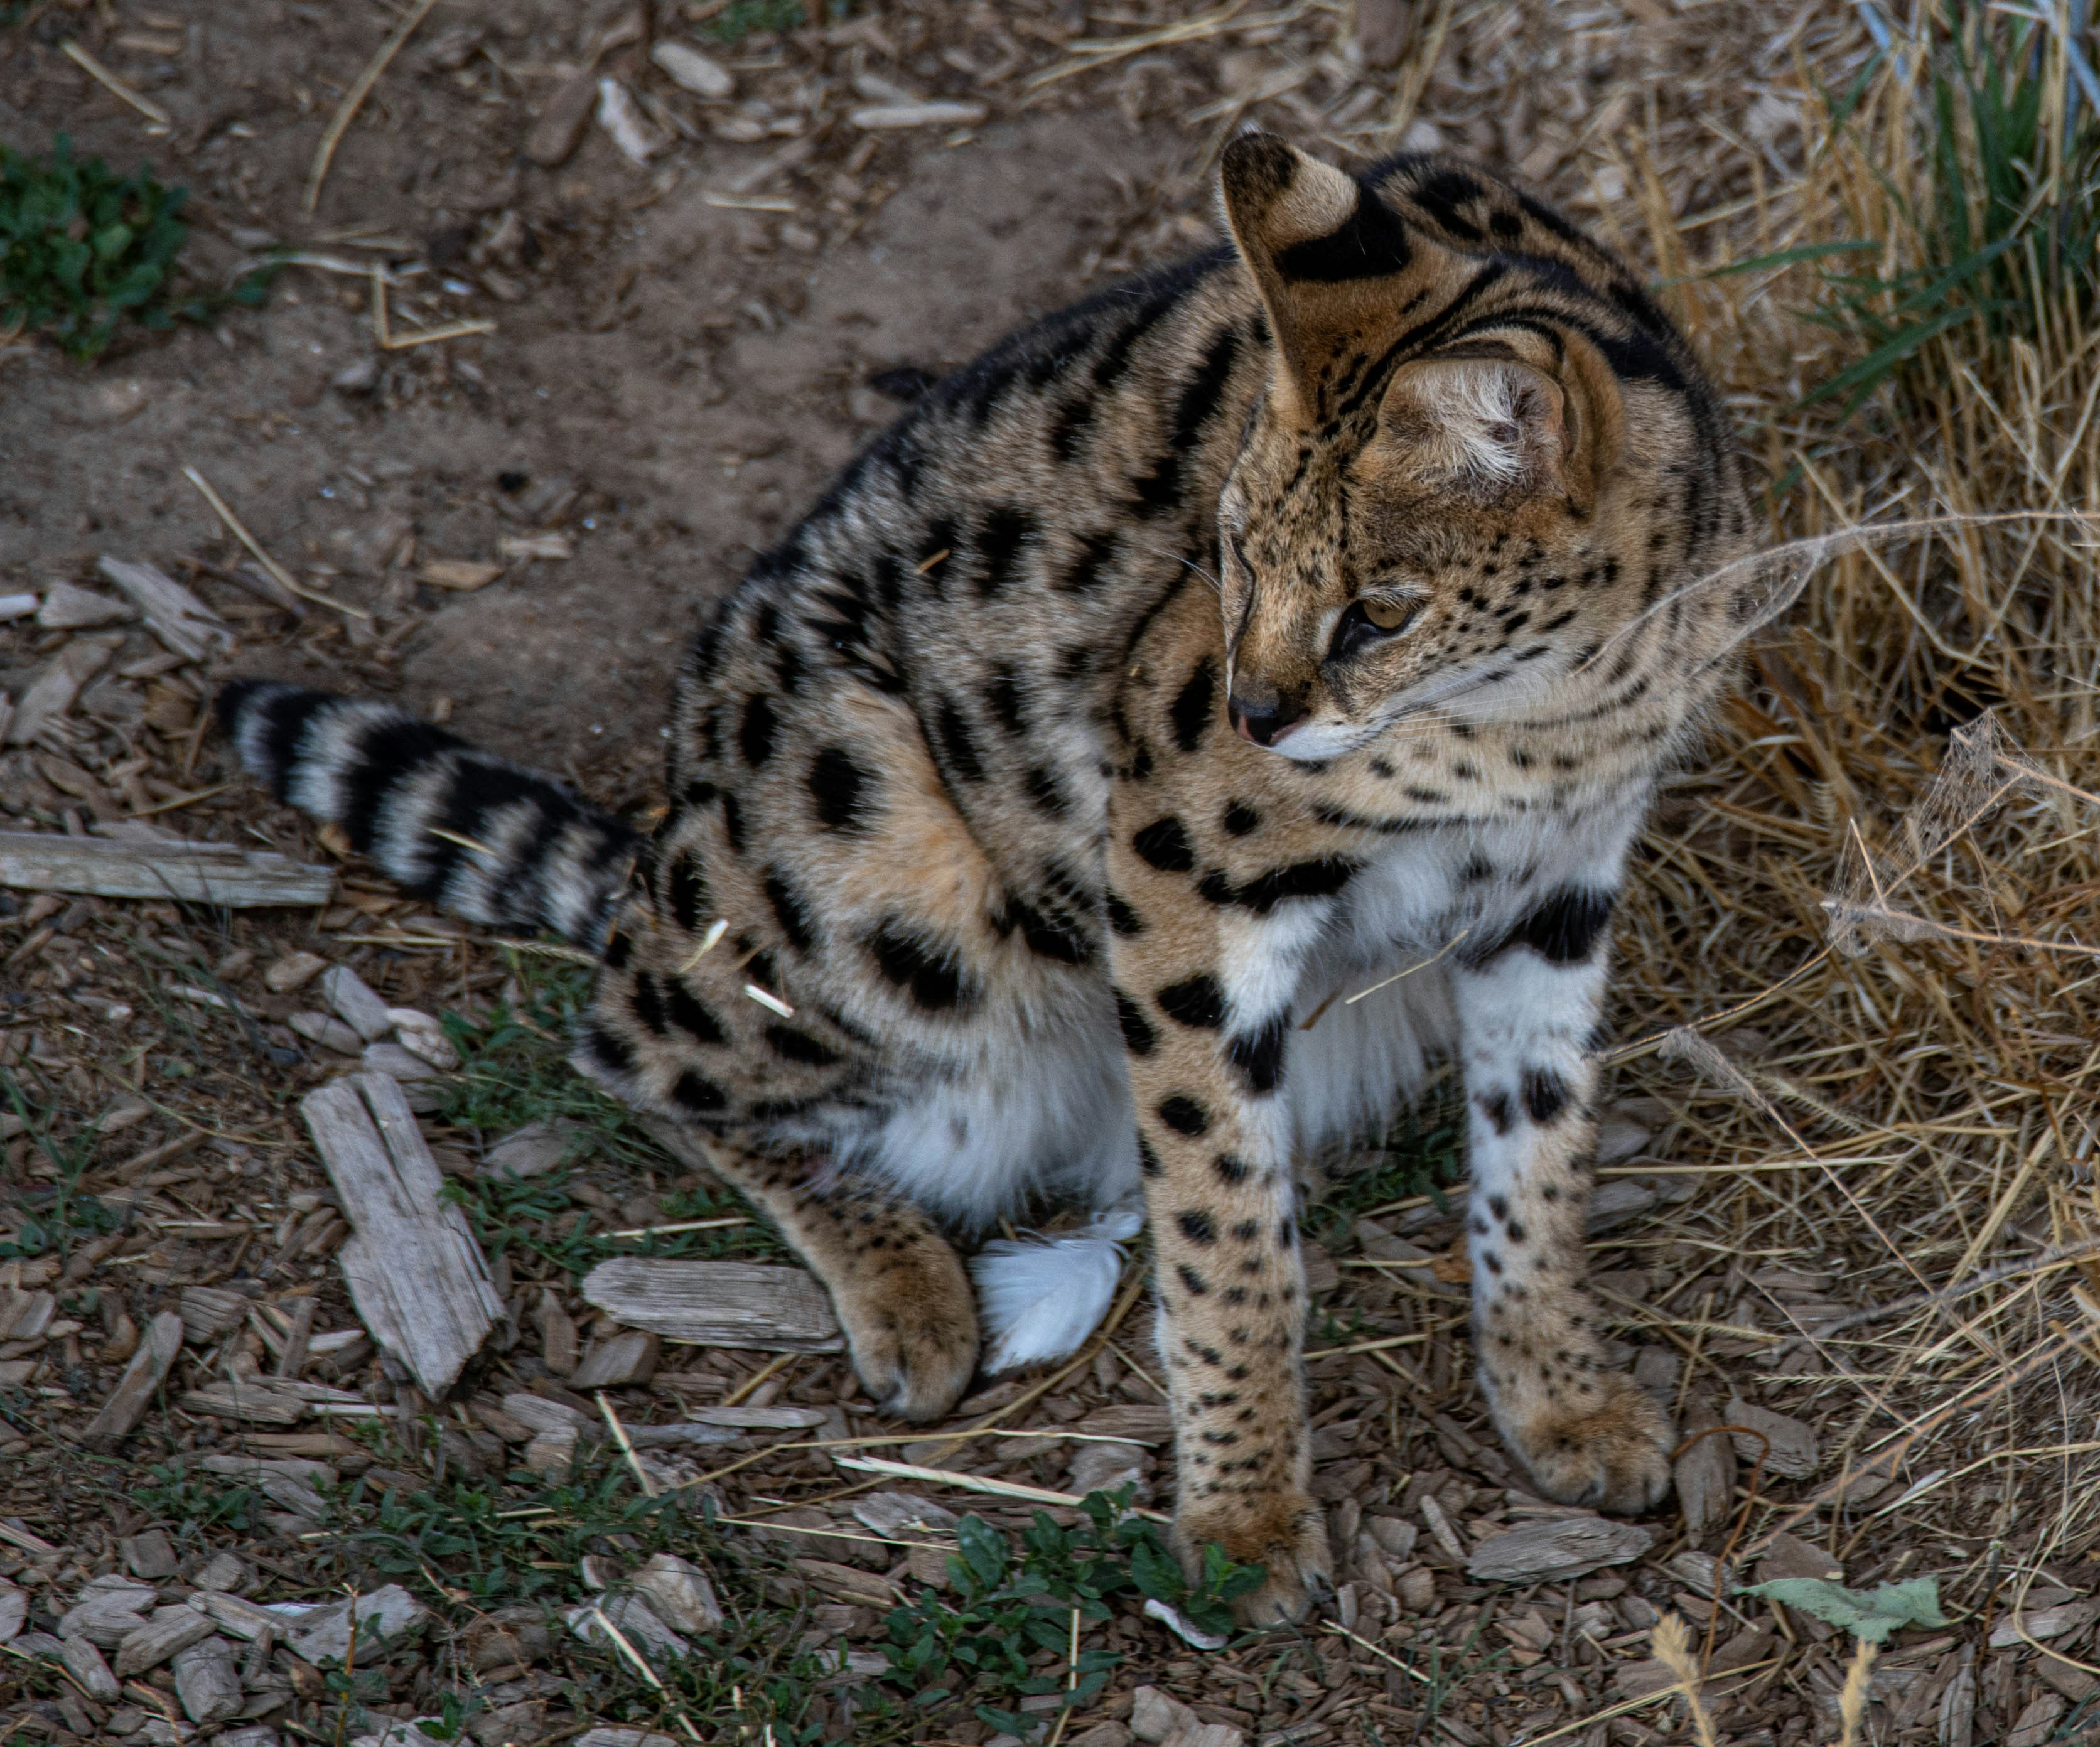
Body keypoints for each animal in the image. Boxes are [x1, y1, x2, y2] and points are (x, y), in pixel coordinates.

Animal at [219, 132, 1754, 1625]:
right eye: (1231, 553)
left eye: (1380, 611)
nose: (1253, 714)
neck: (1547, 712)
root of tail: (663, 823)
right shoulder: (1180, 872)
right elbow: (1225, 1227)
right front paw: (1243, 1518)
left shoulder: (1557, 882)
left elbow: (1539, 1149)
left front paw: (1559, 1395)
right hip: (878, 848)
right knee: (635, 1043)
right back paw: (902, 1282)